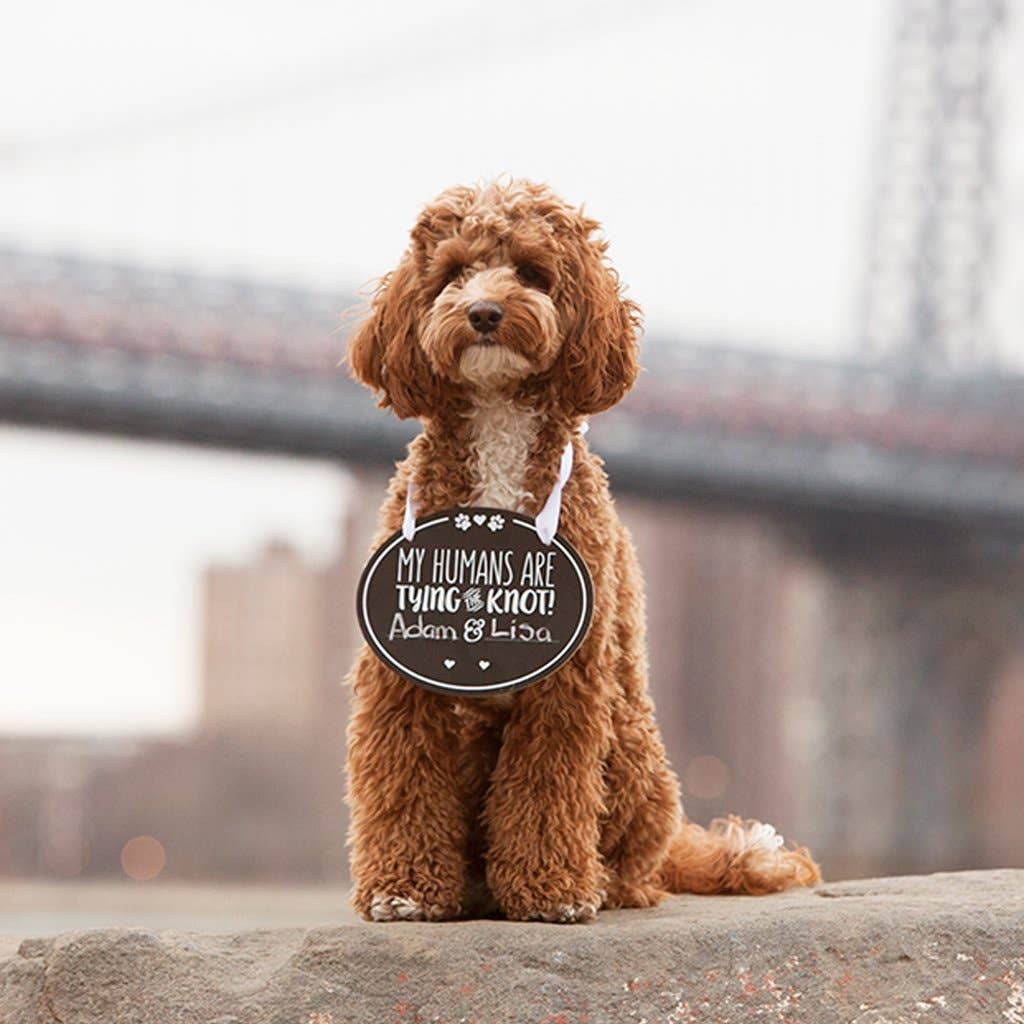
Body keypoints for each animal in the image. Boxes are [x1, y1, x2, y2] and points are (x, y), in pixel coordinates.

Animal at [342, 180, 815, 925]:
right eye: (452, 273)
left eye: (532, 272)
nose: (483, 312)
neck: (499, 425)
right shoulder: (398, 673)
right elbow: (402, 779)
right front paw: (405, 888)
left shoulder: (569, 679)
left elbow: (548, 785)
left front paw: (550, 891)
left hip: (630, 747)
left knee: (635, 865)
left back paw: (598, 881)